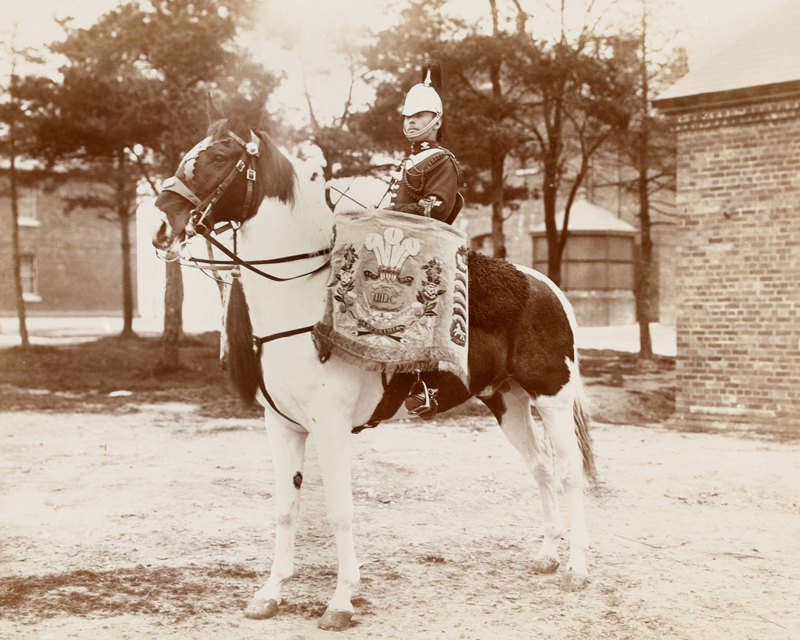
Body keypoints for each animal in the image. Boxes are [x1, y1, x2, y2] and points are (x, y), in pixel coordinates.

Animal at [153, 97, 596, 632]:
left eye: (219, 158)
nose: (163, 223)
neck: (301, 303)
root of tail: (546, 287)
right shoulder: (282, 426)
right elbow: (285, 508)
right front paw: (270, 593)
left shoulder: (331, 427)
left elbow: (340, 511)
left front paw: (341, 601)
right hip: (507, 402)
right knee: (541, 470)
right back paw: (549, 555)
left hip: (552, 399)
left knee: (569, 472)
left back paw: (576, 568)